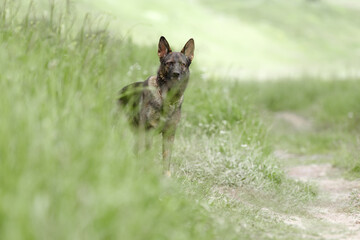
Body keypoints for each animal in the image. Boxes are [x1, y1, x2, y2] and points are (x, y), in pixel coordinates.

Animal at [118, 35, 194, 176]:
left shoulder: (169, 134)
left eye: (183, 64)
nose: (176, 74)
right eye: (169, 63)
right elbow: (148, 153)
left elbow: (166, 157)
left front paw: (166, 176)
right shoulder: (149, 131)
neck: (167, 98)